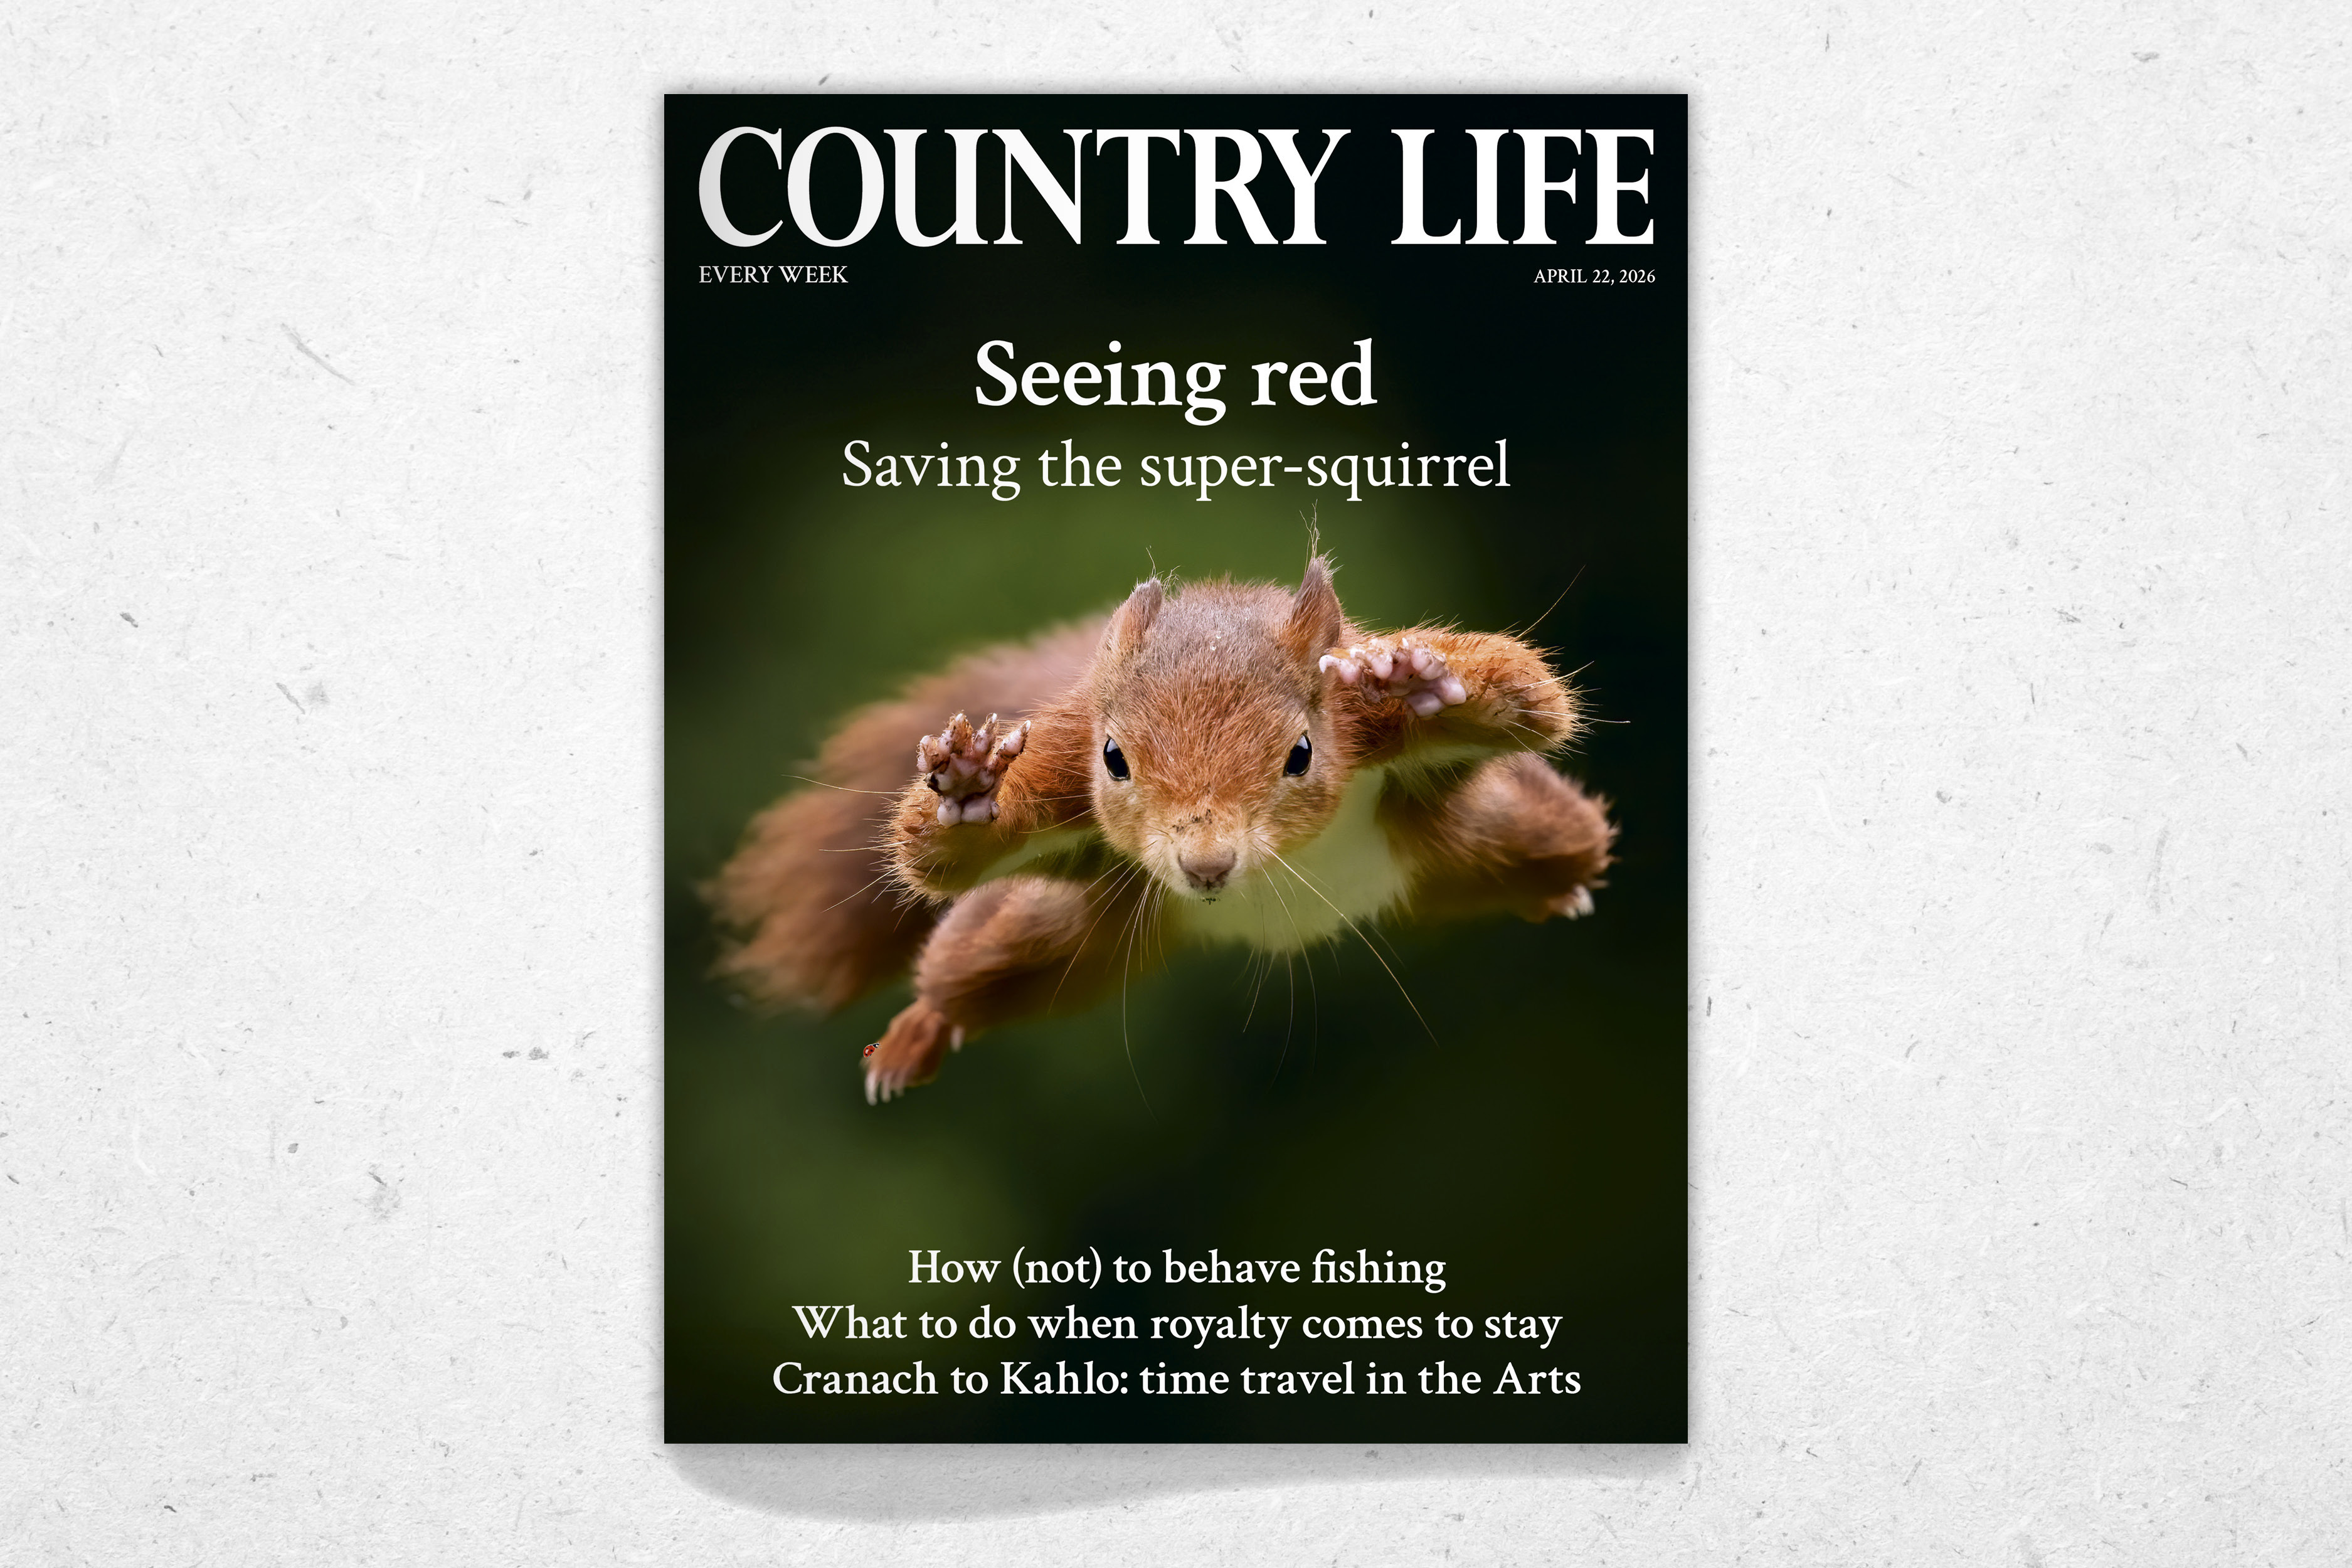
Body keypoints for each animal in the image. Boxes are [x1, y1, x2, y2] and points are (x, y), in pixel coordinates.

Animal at [705, 553, 1614, 1103]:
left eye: (1301, 753)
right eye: (1114, 758)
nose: (1206, 866)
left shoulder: (1369, 722)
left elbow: (1535, 701)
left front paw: (1417, 678)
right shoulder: (1061, 762)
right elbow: (931, 863)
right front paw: (969, 788)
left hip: (1497, 828)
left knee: (1556, 840)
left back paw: (1562, 889)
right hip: (1051, 930)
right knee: (968, 971)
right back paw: (915, 1037)